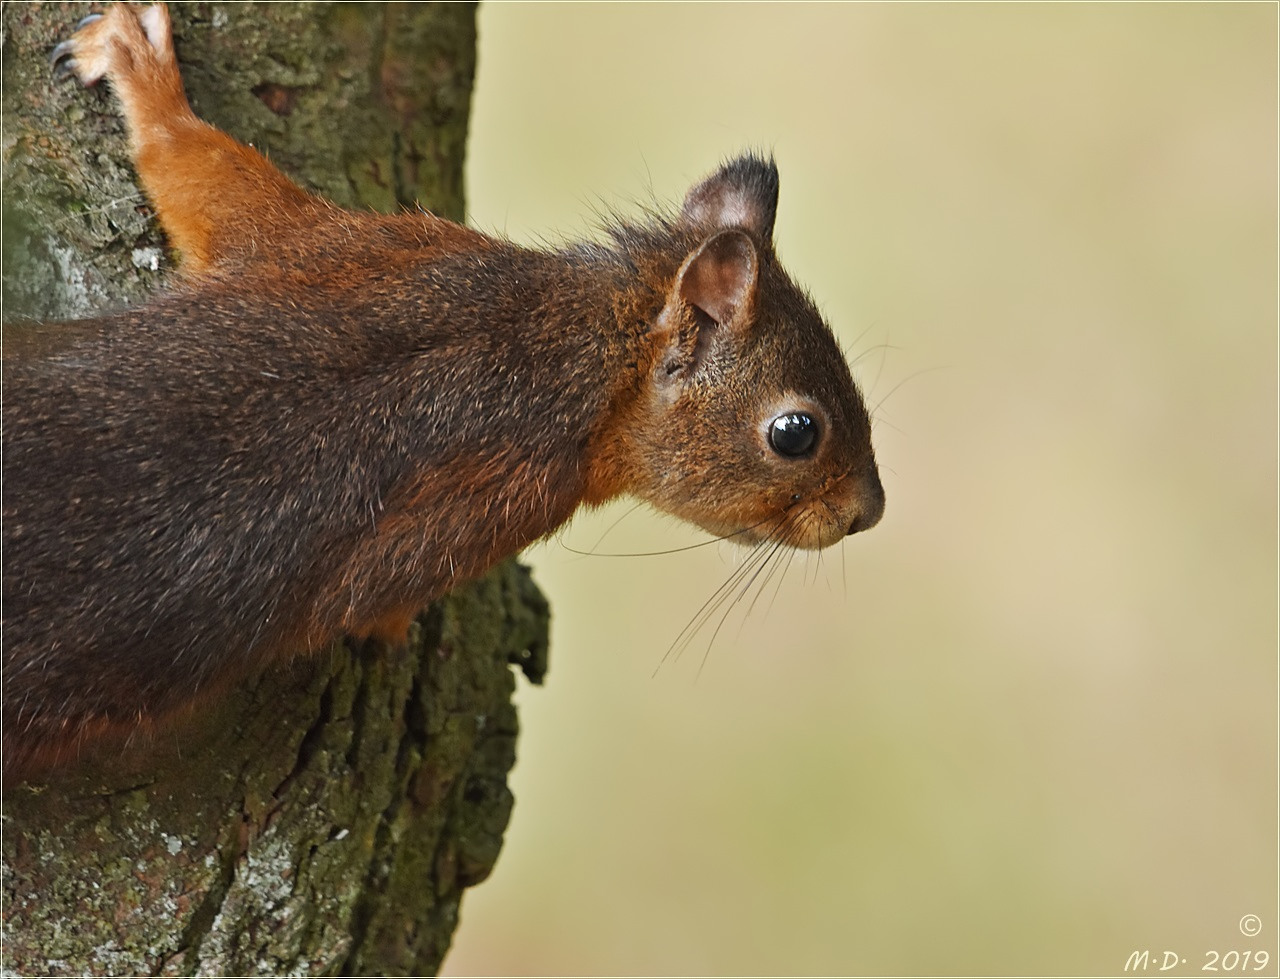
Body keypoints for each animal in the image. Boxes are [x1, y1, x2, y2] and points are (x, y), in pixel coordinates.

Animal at [0, 1, 885, 778]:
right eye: (796, 432)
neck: (567, 346)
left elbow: (197, 175)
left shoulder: (357, 253)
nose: (867, 513)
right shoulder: (485, 492)